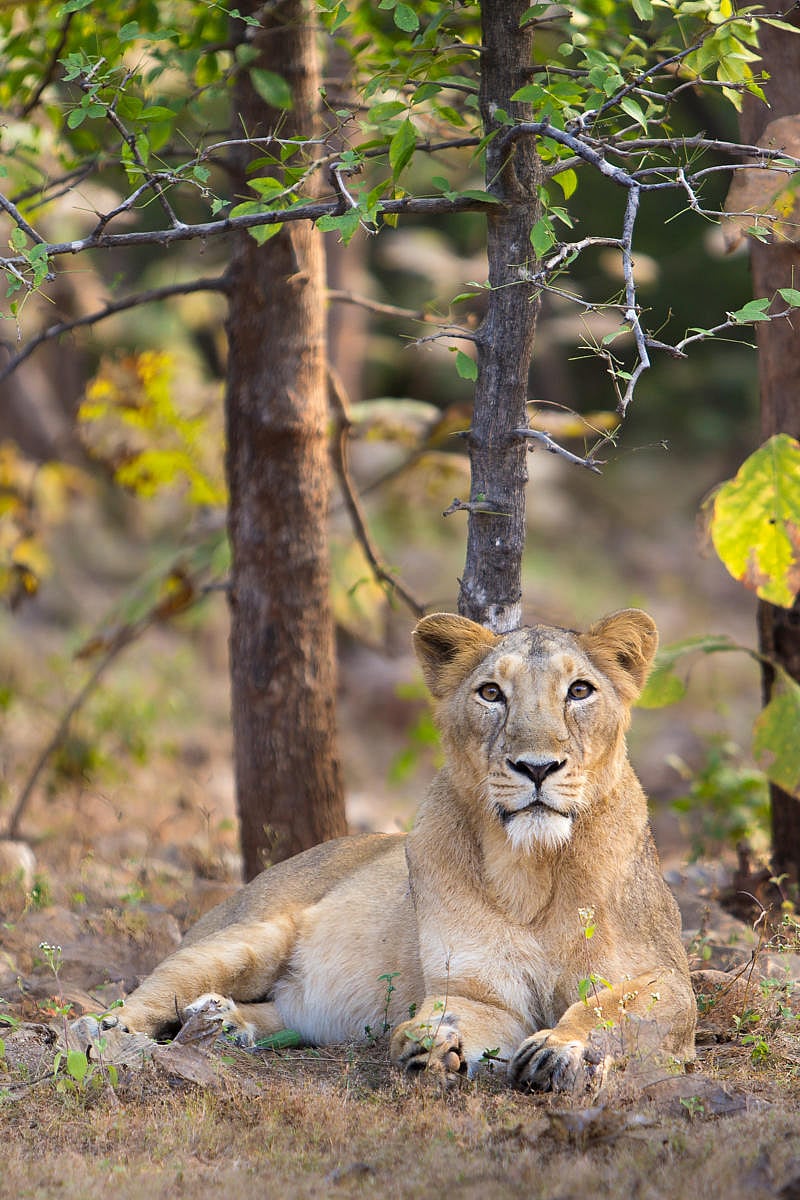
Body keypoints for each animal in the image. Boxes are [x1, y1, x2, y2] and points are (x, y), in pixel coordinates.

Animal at [99, 608, 696, 1091]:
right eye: (491, 694)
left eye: (579, 691)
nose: (536, 767)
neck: (533, 868)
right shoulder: (476, 991)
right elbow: (456, 1015)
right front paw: (429, 1044)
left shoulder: (670, 982)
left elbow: (605, 1006)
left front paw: (557, 1049)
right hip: (249, 936)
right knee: (148, 994)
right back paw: (112, 1032)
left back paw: (222, 1020)